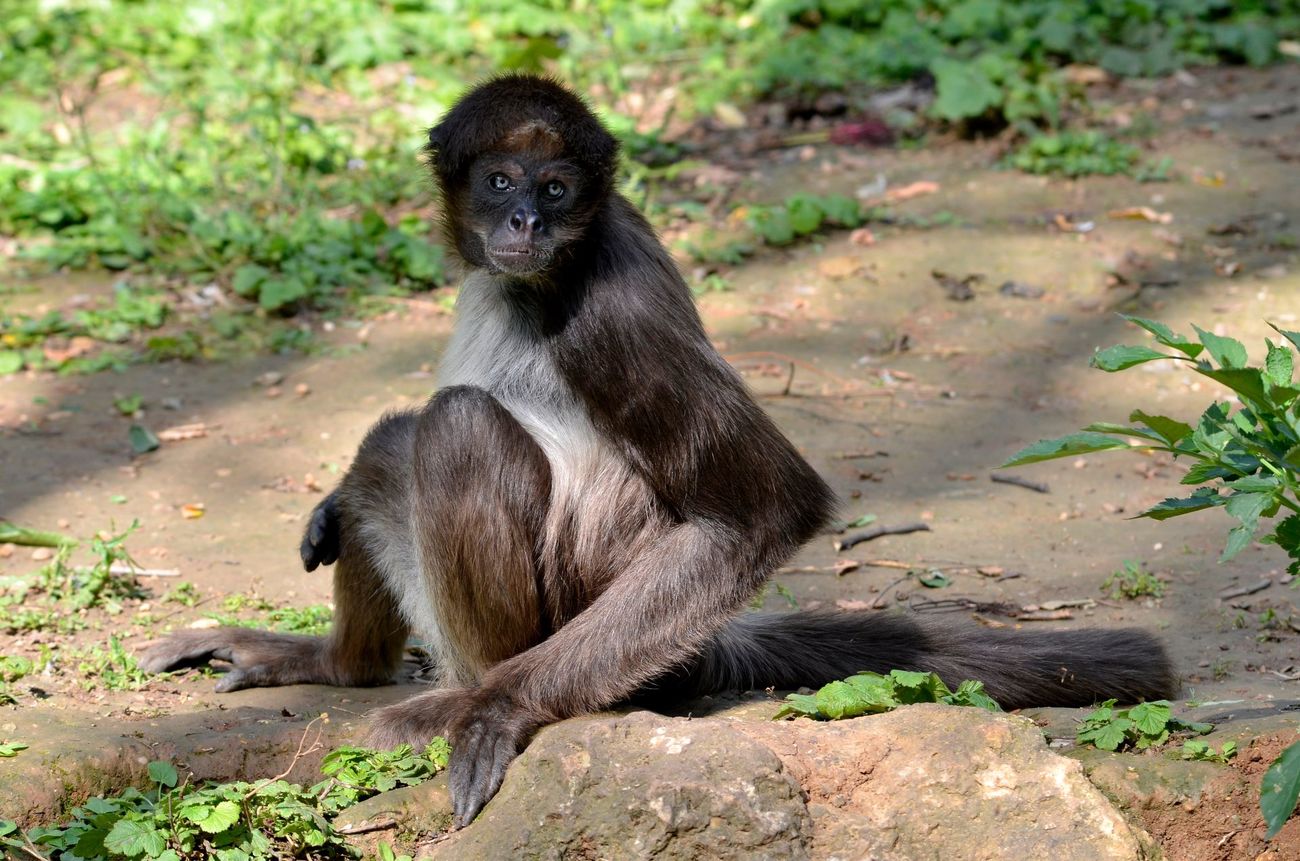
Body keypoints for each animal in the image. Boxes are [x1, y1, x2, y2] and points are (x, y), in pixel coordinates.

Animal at [139, 75, 1180, 832]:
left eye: (556, 189)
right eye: (499, 182)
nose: (524, 223)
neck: (548, 274)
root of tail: (692, 651)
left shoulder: (611, 309)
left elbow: (768, 509)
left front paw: (491, 714)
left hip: (577, 631)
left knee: (453, 424)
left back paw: (464, 693)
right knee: (387, 442)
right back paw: (341, 663)